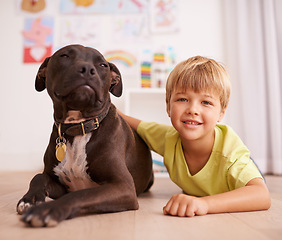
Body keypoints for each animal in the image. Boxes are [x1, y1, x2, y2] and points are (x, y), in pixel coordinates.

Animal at [16, 44, 153, 227]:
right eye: (64, 56)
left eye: (103, 65)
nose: (87, 69)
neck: (78, 128)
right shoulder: (61, 184)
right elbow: (38, 177)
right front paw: (29, 199)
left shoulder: (123, 186)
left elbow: (82, 194)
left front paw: (48, 209)